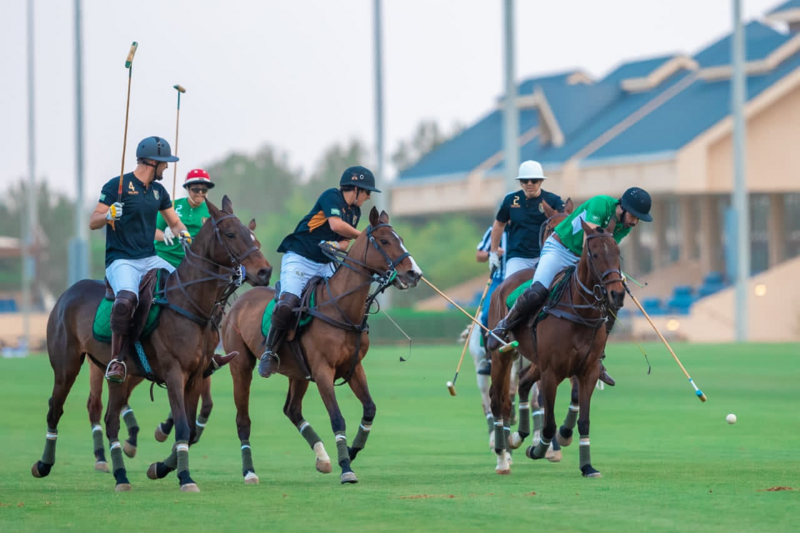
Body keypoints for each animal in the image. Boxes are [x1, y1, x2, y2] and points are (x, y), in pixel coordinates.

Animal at [32, 196, 272, 490]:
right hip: (66, 365)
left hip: (117, 375)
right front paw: (185, 477)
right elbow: (182, 426)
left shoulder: (196, 375)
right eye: (230, 234)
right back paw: (44, 465)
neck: (190, 304)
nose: (265, 271)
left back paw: (121, 476)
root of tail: (67, 293)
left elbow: (190, 427)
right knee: (55, 409)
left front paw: (159, 468)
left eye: (253, 236)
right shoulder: (174, 372)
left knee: (110, 420)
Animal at [222, 207, 422, 482]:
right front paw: (346, 468)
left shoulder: (353, 368)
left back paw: (323, 458)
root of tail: (237, 303)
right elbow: (337, 418)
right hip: (241, 365)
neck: (342, 310)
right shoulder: (323, 370)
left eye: (400, 238)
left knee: (292, 409)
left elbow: (370, 409)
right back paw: (249, 472)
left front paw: (352, 451)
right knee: (243, 419)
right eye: (384, 241)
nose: (414, 274)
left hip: (298, 373)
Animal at [484, 218, 620, 476]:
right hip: (503, 354)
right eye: (595, 254)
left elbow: (584, 421)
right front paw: (537, 450)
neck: (580, 312)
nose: (616, 293)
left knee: (523, 381)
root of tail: (502, 284)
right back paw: (502, 458)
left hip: (536, 359)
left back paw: (516, 438)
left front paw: (587, 466)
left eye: (618, 253)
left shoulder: (588, 371)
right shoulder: (551, 372)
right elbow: (548, 424)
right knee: (498, 401)